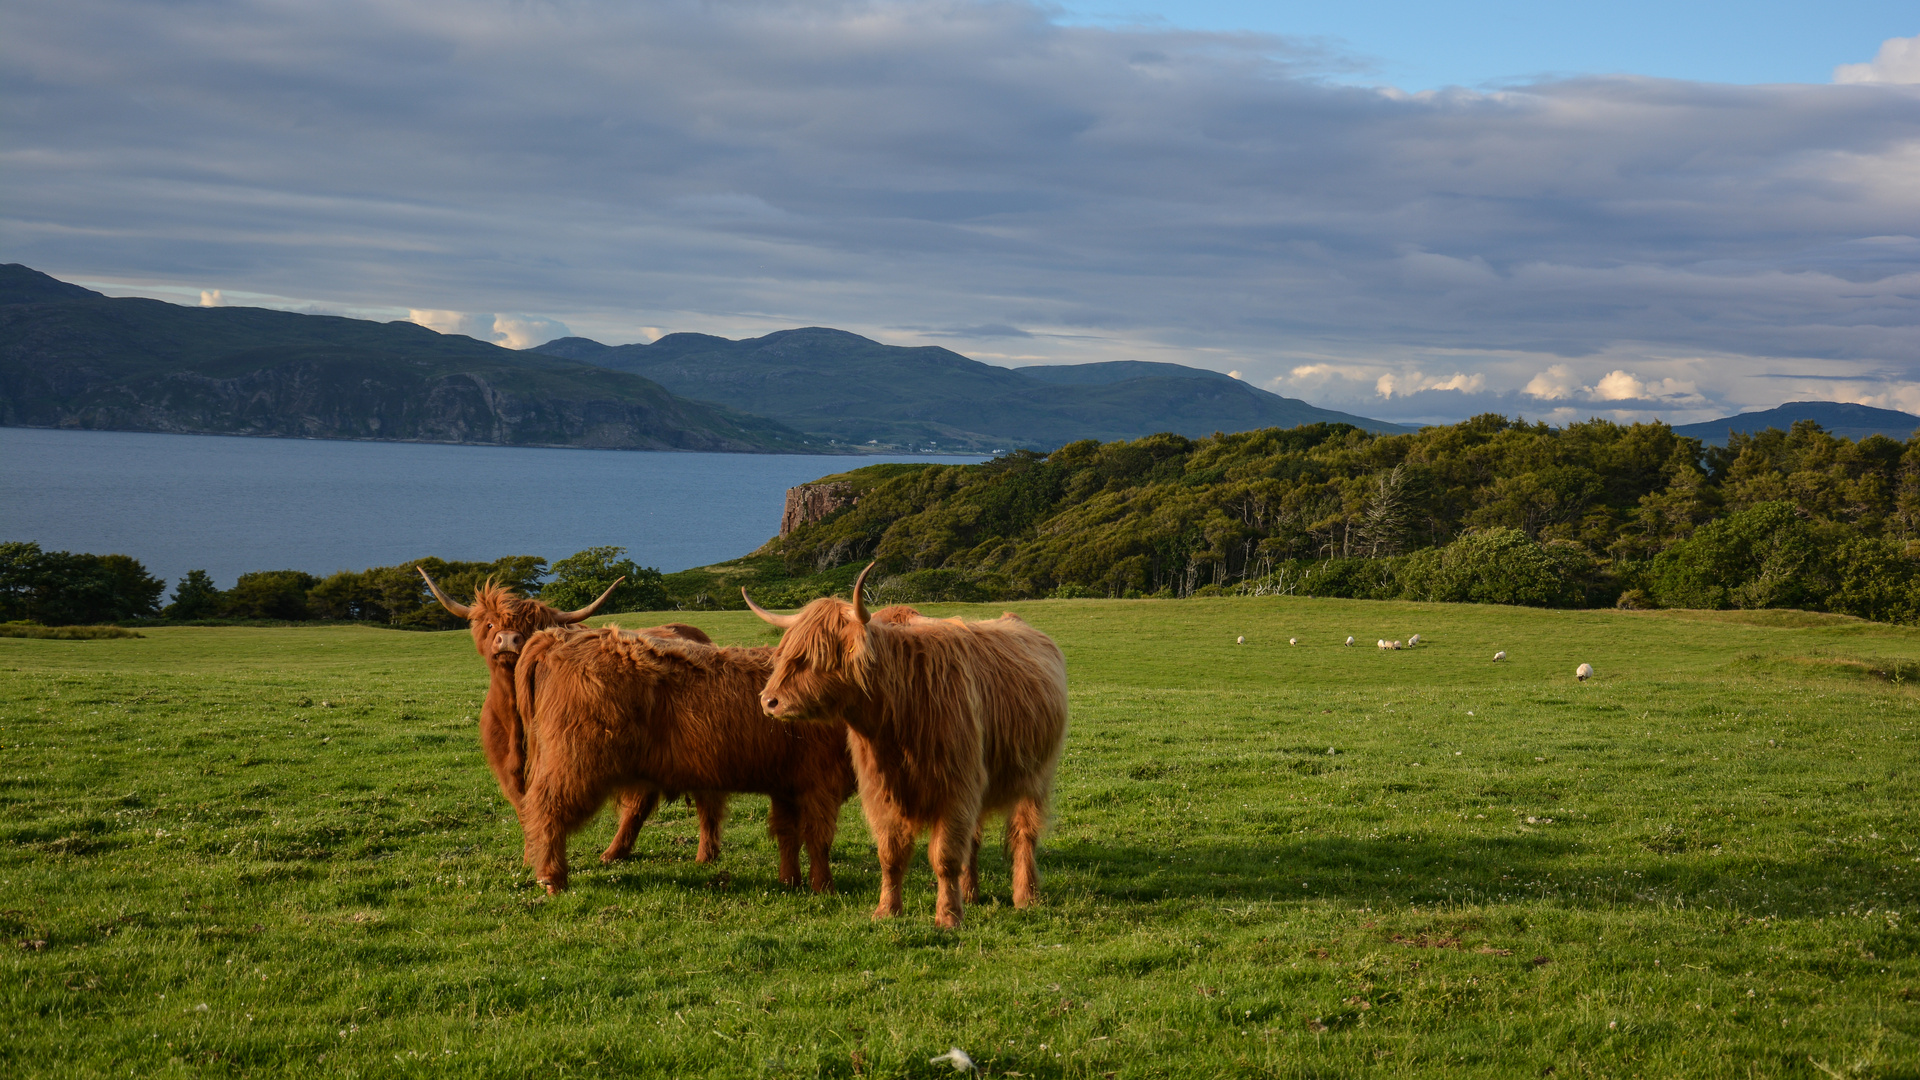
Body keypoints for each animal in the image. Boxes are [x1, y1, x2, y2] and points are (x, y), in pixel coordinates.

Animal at [416, 568, 721, 860]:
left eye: (532, 628)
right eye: (490, 625)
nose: (508, 639)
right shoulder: (507, 769)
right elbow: (524, 809)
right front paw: (530, 858)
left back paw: (702, 854)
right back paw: (614, 853)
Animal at [744, 564, 1067, 926]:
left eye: (817, 656)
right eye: (783, 654)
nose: (768, 700)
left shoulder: (955, 788)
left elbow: (945, 857)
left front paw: (949, 917)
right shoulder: (883, 792)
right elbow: (891, 854)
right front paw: (887, 909)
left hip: (1036, 776)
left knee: (1024, 834)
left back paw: (1026, 897)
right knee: (975, 839)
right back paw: (971, 893)